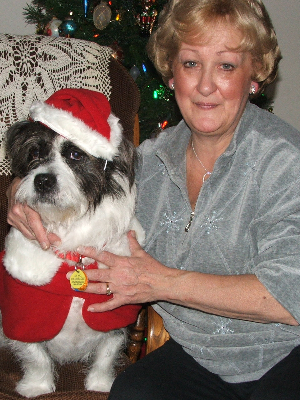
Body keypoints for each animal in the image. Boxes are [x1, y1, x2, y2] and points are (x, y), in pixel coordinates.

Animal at [0, 89, 144, 398]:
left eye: (76, 154)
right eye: (35, 153)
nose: (42, 181)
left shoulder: (115, 315)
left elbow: (107, 352)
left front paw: (100, 383)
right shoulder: (23, 314)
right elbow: (36, 355)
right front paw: (37, 385)